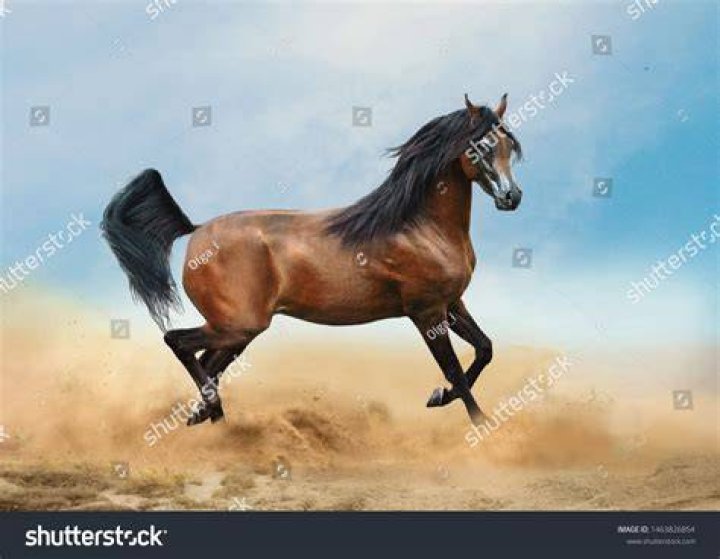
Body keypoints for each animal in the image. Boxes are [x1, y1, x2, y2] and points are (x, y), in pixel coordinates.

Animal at [101, 93, 523, 427]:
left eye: (508, 146)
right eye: (478, 147)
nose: (511, 197)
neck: (418, 227)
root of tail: (197, 230)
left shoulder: (452, 303)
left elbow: (484, 350)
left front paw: (438, 397)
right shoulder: (426, 312)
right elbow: (456, 371)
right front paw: (479, 426)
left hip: (237, 330)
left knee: (207, 361)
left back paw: (207, 419)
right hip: (239, 325)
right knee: (179, 343)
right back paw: (216, 418)